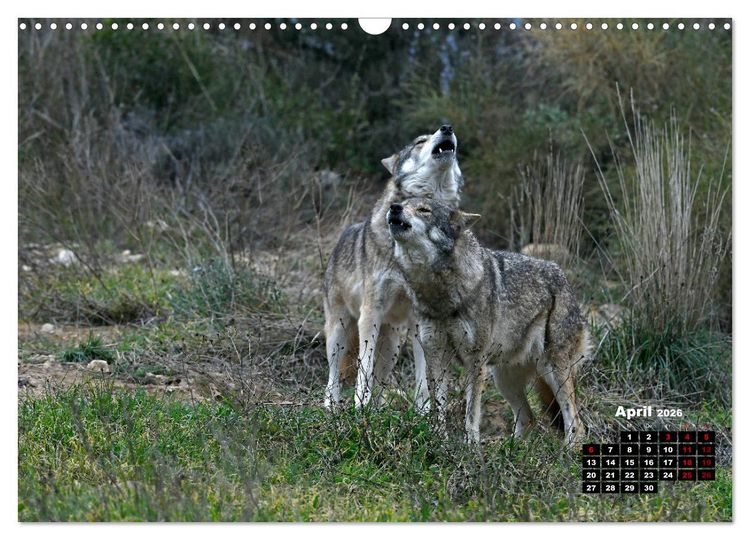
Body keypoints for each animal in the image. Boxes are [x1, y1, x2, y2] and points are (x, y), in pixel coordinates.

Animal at [324, 125, 463, 410]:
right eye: (420, 141)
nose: (447, 128)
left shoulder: (421, 319)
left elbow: (423, 376)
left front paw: (423, 411)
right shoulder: (370, 314)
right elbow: (363, 369)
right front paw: (359, 407)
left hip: (393, 346)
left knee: (380, 379)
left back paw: (377, 411)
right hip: (339, 332)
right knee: (333, 375)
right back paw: (332, 407)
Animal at [386, 197, 589, 445]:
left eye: (424, 210)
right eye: (403, 203)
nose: (394, 207)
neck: (440, 295)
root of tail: (564, 279)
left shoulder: (475, 360)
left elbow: (471, 413)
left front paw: (471, 447)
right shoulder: (436, 356)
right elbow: (439, 407)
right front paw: (439, 441)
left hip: (552, 369)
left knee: (576, 424)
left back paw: (565, 451)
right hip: (504, 379)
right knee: (528, 419)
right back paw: (509, 450)